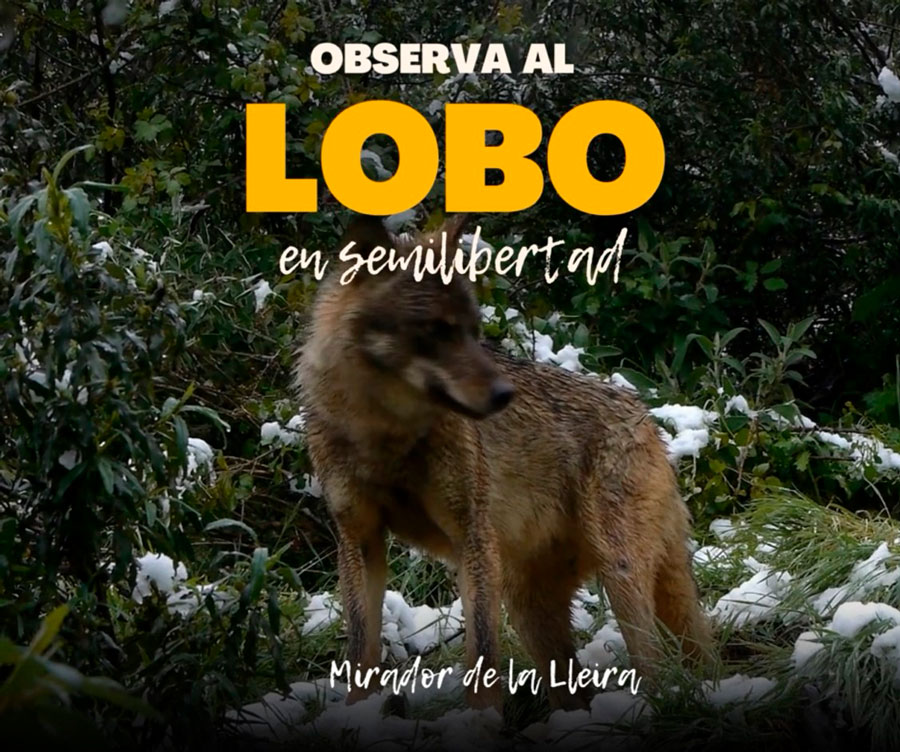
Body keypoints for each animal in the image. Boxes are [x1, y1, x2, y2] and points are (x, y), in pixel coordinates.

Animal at [296, 214, 712, 711]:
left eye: (473, 331)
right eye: (436, 331)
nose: (503, 395)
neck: (386, 437)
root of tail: (646, 416)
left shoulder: (472, 538)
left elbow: (481, 651)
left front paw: (481, 719)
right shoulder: (360, 539)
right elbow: (362, 649)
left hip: (620, 577)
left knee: (656, 665)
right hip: (530, 609)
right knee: (577, 688)